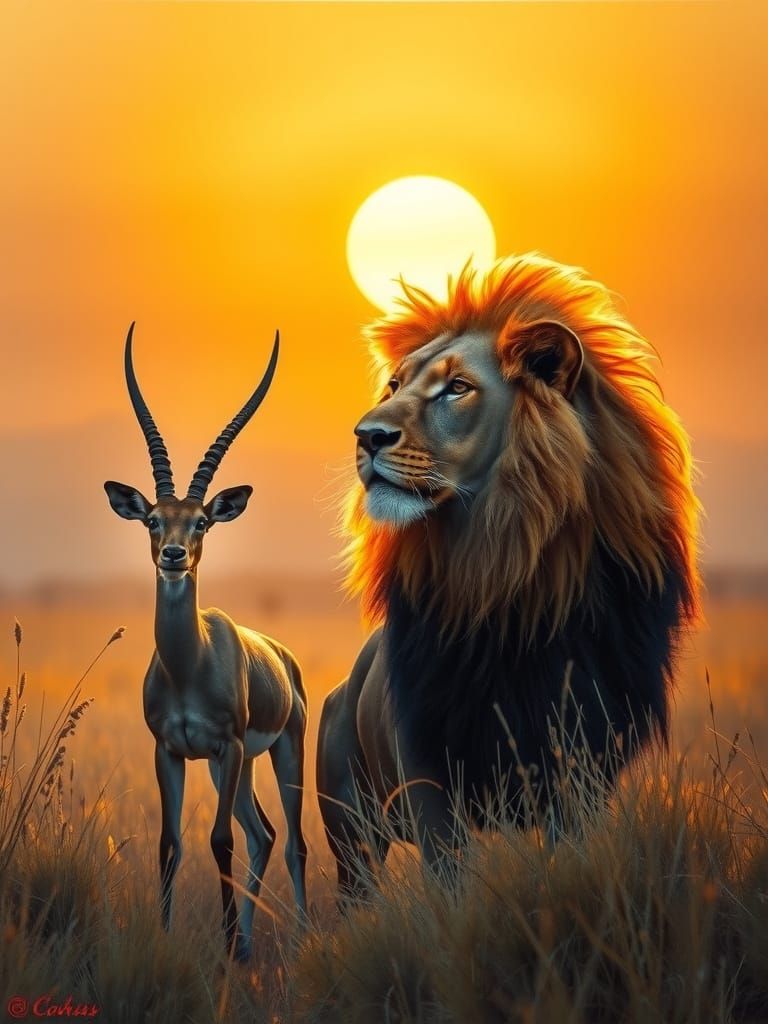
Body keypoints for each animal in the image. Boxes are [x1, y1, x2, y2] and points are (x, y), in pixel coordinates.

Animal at [104, 324, 307, 961]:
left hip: (278, 752)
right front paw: (171, 939)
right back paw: (247, 944)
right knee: (262, 832)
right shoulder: (168, 750)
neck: (188, 666)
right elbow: (170, 843)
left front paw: (222, 948)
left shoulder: (228, 745)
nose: (173, 555)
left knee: (291, 840)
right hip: (233, 772)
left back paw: (300, 936)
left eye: (202, 521)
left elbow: (218, 841)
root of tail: (282, 657)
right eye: (153, 519)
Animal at [317, 253, 700, 891]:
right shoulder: (428, 769)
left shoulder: (582, 767)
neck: (500, 580)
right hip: (353, 836)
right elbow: (452, 885)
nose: (365, 437)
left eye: (457, 388)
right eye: (394, 385)